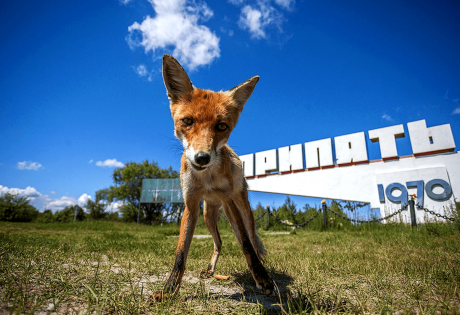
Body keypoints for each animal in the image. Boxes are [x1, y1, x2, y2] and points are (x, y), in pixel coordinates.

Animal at [156, 55, 274, 302]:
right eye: (187, 121)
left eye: (221, 126)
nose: (202, 158)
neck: (206, 180)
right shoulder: (190, 204)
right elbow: (180, 254)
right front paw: (169, 290)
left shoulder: (228, 201)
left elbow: (246, 244)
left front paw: (263, 279)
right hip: (208, 215)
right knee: (219, 242)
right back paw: (211, 270)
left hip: (242, 209)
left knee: (252, 239)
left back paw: (262, 270)